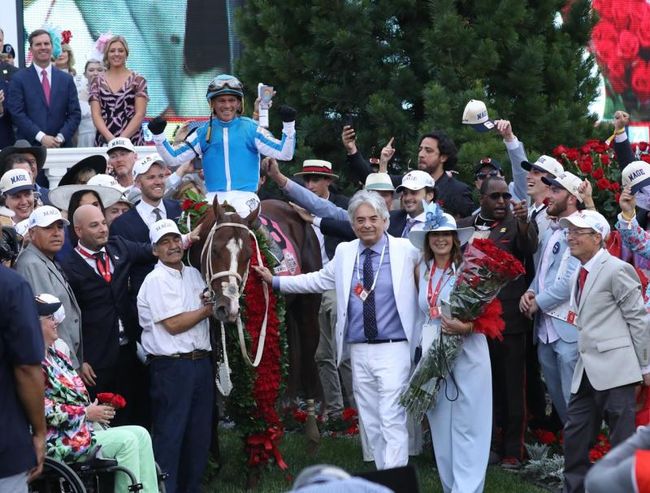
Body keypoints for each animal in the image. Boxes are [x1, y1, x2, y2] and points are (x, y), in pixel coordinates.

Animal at [190, 196, 324, 446]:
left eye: (248, 255)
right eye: (215, 249)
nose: (228, 307)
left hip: (308, 305)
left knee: (309, 352)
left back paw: (312, 426)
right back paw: (287, 405)